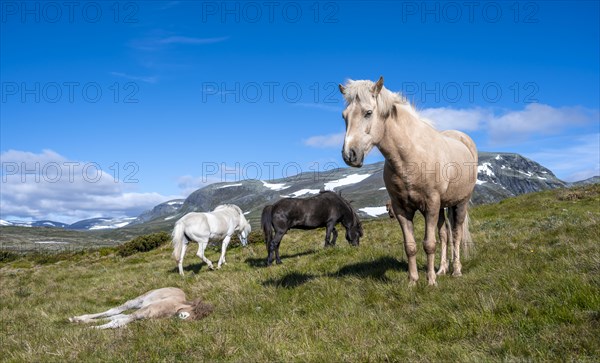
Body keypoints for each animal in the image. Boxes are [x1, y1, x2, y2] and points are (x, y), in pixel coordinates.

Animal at [68, 288, 212, 332]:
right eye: (186, 315)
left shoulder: (142, 316)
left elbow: (118, 320)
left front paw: (86, 326)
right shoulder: (141, 312)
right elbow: (117, 322)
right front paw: (88, 330)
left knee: (116, 314)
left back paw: (79, 320)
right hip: (139, 301)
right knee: (115, 311)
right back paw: (79, 319)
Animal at [340, 77, 476, 288]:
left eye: (368, 112)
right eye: (344, 116)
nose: (349, 155)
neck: (411, 157)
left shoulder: (430, 205)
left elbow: (429, 244)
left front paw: (430, 281)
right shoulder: (402, 209)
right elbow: (410, 246)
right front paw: (413, 281)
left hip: (459, 203)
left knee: (456, 235)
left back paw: (456, 270)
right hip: (441, 208)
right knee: (444, 235)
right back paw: (442, 269)